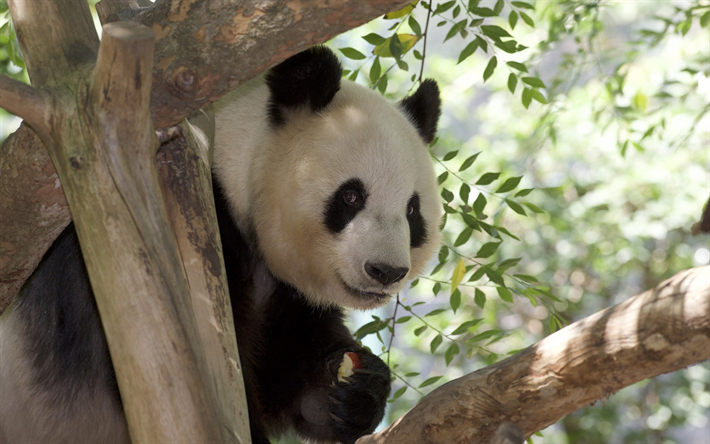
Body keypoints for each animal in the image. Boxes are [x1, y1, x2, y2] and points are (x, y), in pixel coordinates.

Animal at [0, 46, 444, 444]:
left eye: (412, 211)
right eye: (351, 196)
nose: (386, 271)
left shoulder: (286, 292)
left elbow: (286, 369)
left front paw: (358, 390)